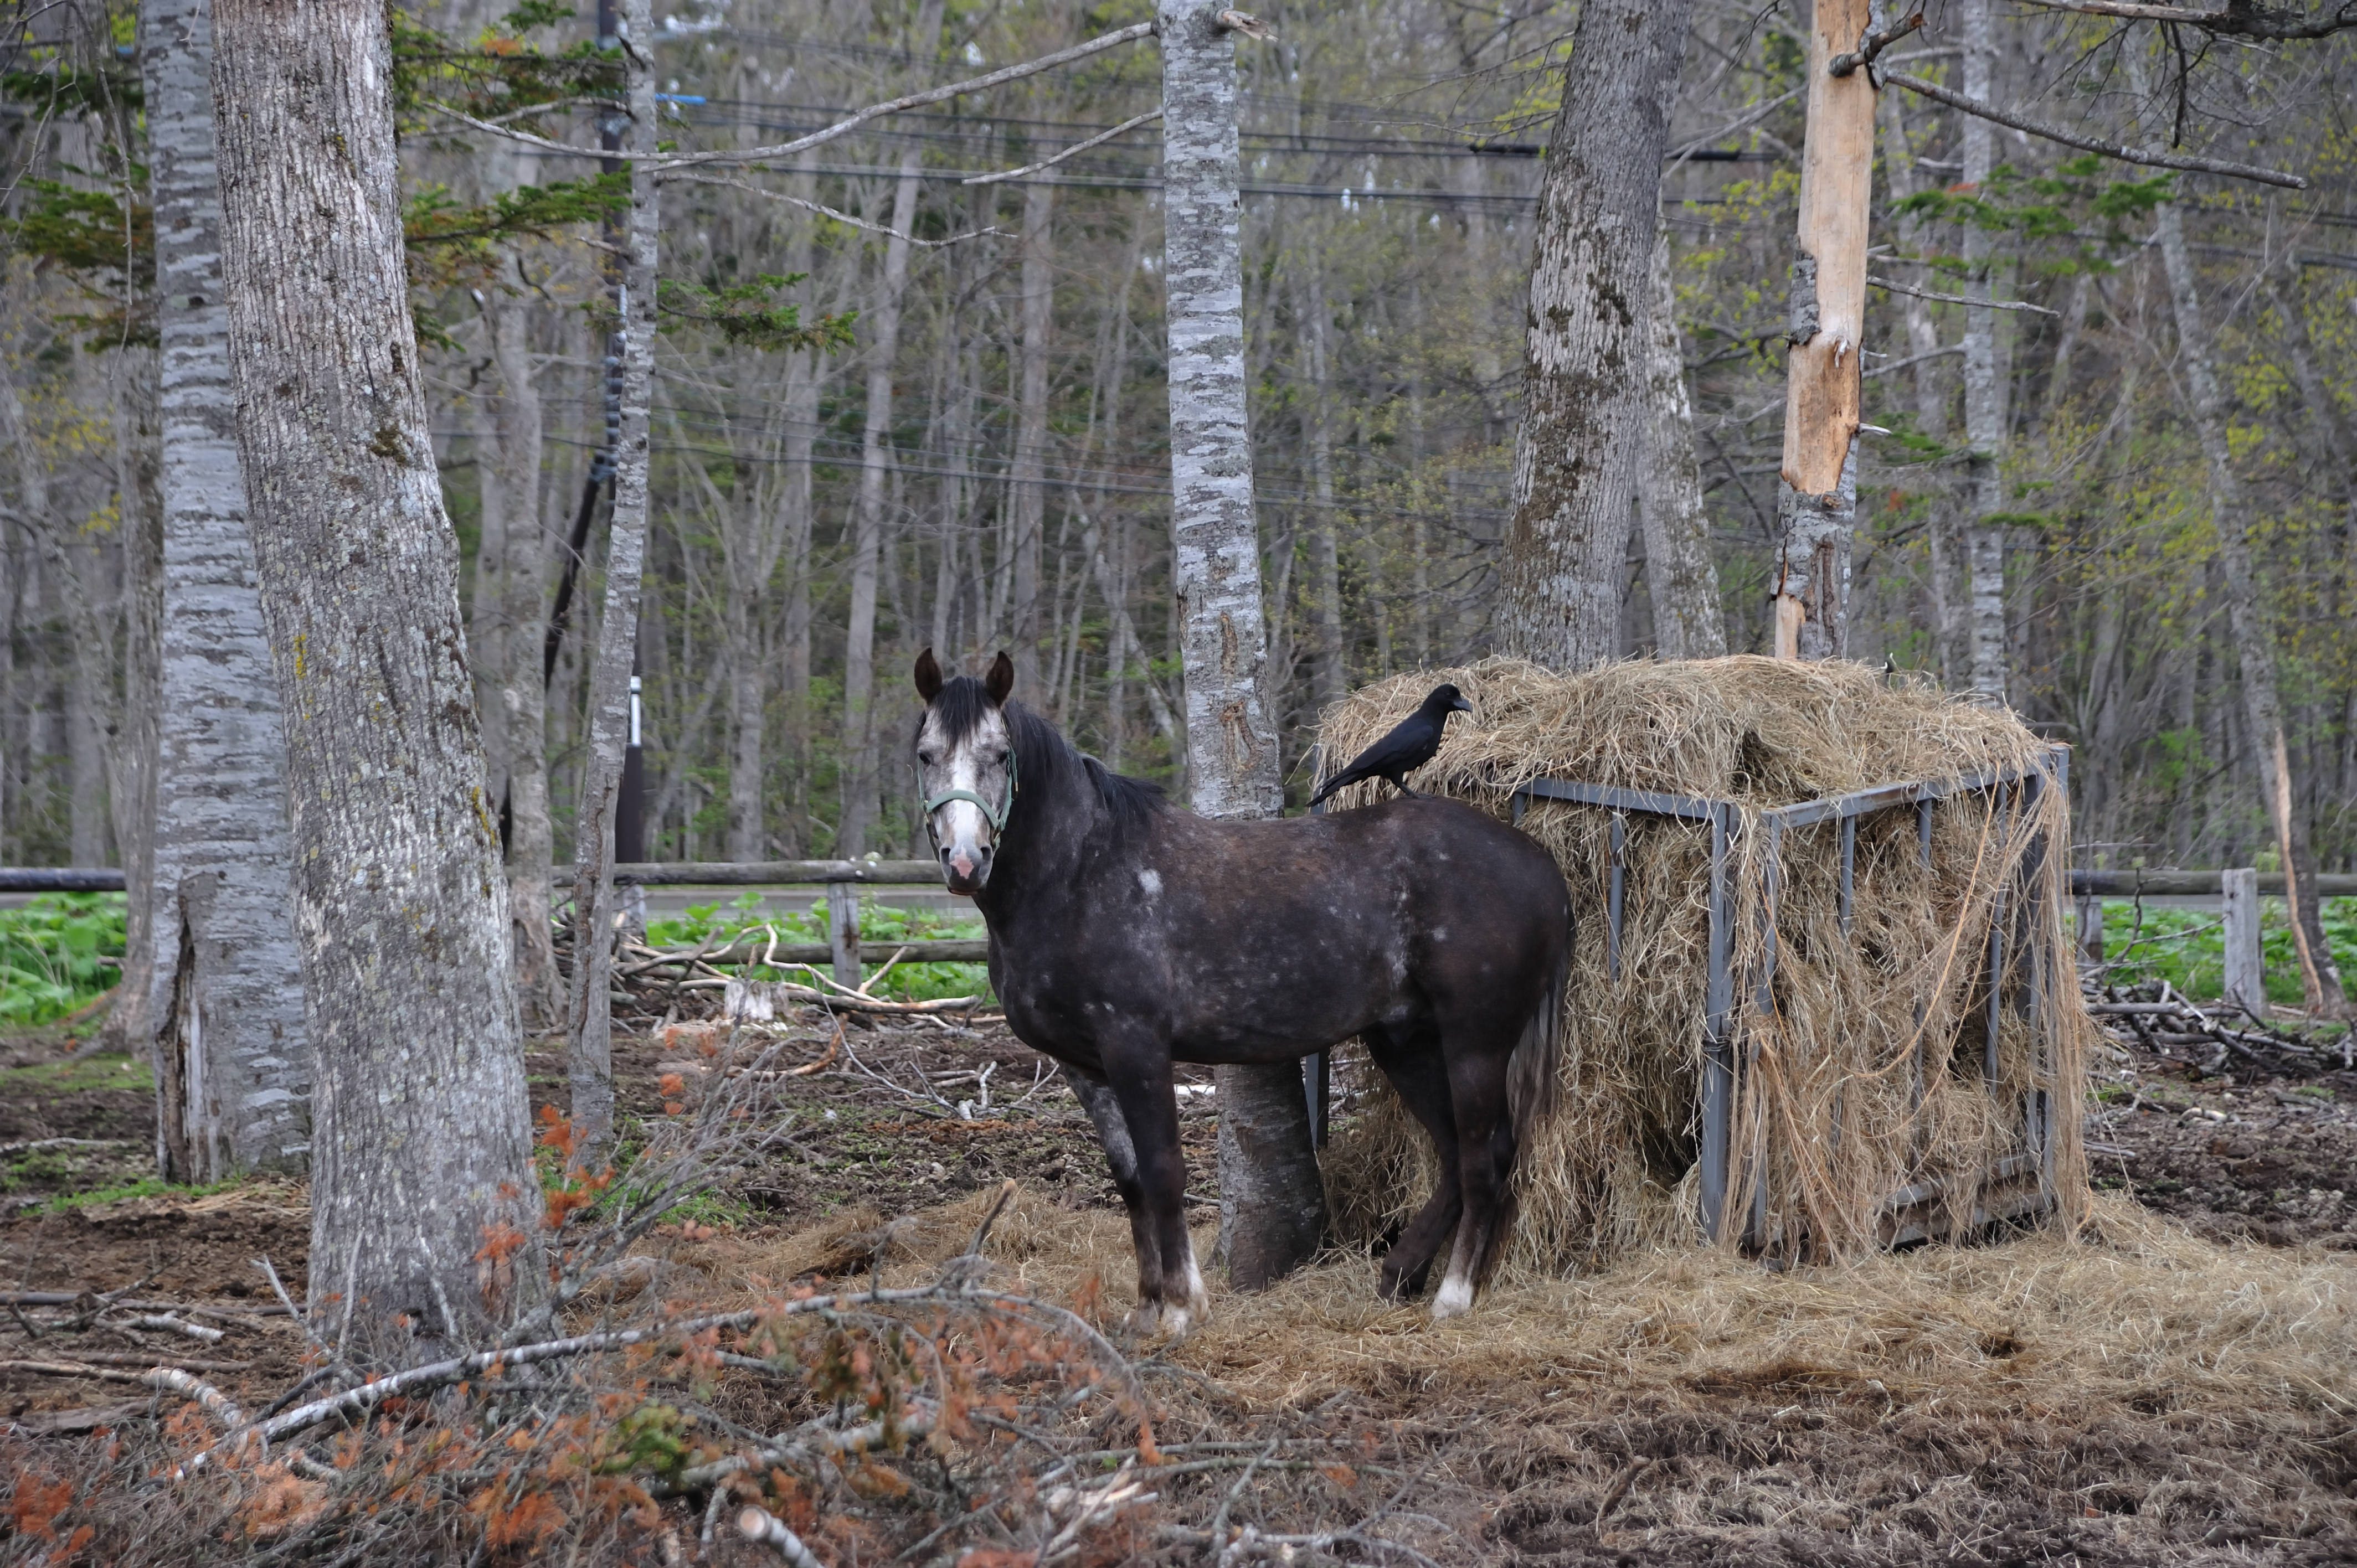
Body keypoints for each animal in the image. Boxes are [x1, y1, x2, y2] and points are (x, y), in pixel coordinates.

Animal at [911, 648, 1570, 1333]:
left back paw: (1452, 1297)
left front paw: (1182, 1310)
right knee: (1454, 1153)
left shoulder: (1136, 1048)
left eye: (999, 756)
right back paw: (1400, 1274)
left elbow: (1163, 1173)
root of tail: (1538, 864)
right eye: (925, 755)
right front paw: (1146, 1310)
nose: (965, 861)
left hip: (1475, 1043)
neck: (1082, 873)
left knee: (1483, 1159)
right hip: (1406, 1042)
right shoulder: (1082, 1066)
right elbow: (1130, 1180)